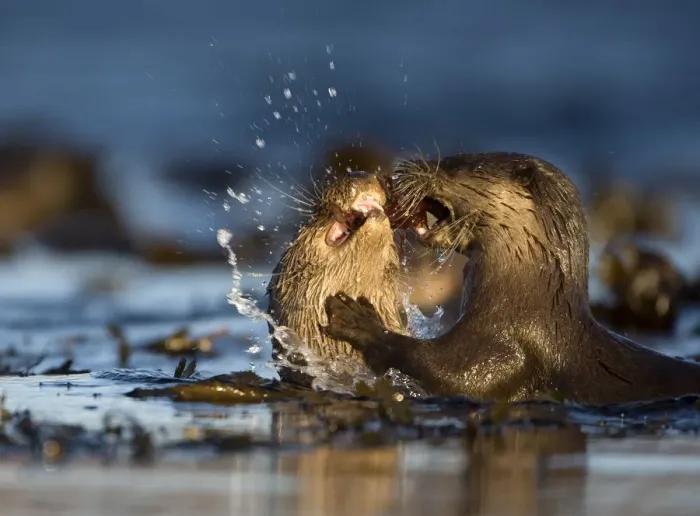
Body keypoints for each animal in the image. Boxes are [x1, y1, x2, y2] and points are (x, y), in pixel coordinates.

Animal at [322, 152, 700, 404]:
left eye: (459, 163)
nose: (402, 169)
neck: (526, 298)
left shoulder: (506, 347)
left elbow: (447, 372)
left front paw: (360, 321)